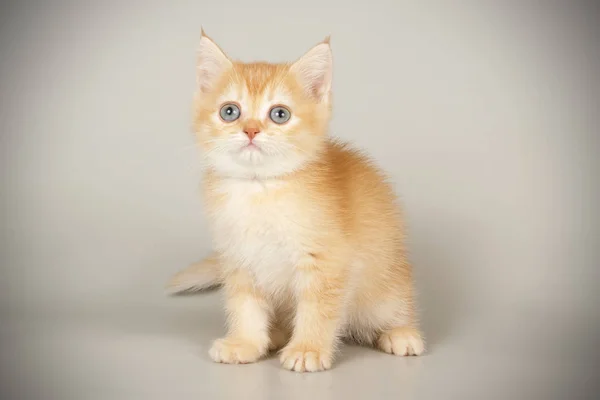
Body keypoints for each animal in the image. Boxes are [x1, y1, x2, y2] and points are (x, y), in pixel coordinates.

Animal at [166, 31, 424, 372]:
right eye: (229, 111)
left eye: (280, 114)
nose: (251, 130)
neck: (260, 189)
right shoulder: (238, 258)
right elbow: (244, 304)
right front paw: (245, 342)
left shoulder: (328, 260)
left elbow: (318, 308)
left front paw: (307, 349)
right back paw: (274, 336)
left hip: (385, 286)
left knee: (394, 306)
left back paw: (401, 332)